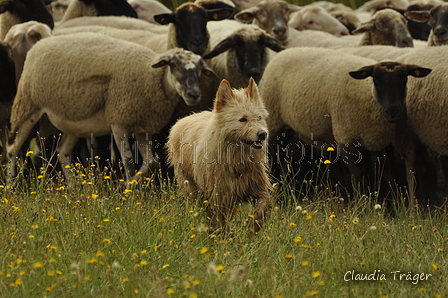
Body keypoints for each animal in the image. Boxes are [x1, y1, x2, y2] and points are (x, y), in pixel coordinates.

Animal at [6, 32, 217, 182]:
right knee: (12, 149)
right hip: (27, 106)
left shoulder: (143, 128)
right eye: (173, 64)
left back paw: (75, 189)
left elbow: (152, 162)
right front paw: (129, 191)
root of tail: (39, 45)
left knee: (62, 152)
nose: (193, 94)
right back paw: (10, 186)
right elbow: (129, 161)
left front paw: (132, 185)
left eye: (200, 69)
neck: (151, 77)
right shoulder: (119, 121)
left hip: (74, 123)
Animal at [260, 46, 430, 191]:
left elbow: (386, 175)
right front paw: (363, 204)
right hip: (274, 124)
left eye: (405, 79)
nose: (392, 111)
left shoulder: (379, 143)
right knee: (272, 159)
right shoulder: (347, 140)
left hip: (289, 129)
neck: (367, 93)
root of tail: (283, 52)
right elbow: (358, 177)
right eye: (376, 79)